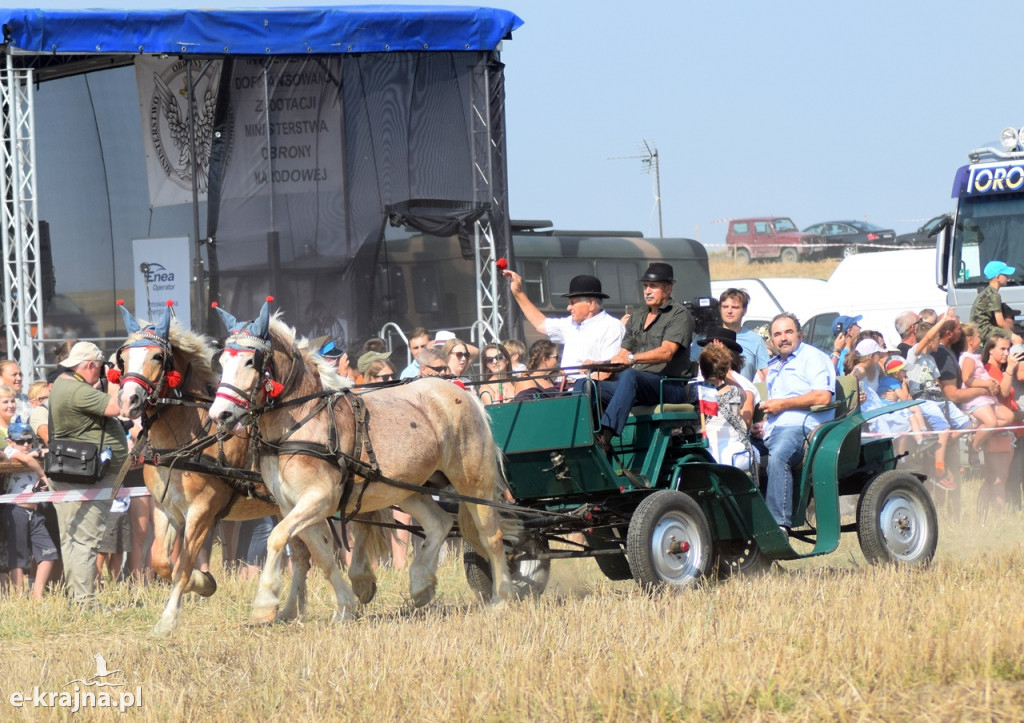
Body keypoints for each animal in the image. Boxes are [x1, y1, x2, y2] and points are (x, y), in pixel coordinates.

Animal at [115, 303, 387, 630]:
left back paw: (360, 583)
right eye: (123, 358)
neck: (188, 435)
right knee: (302, 555)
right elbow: (161, 561)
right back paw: (291, 610)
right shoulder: (166, 509)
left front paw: (168, 620)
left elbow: (183, 564)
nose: (128, 400)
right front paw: (204, 582)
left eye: (157, 356)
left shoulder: (202, 511)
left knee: (357, 526)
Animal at [205, 299, 512, 618]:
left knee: (491, 536)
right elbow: (322, 556)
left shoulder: (319, 498)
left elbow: (278, 538)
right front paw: (345, 604)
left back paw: (501, 599)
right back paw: (421, 585)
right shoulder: (292, 504)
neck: (302, 419)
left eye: (250, 362)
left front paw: (265, 604)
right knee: (438, 522)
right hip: (405, 488)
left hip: (473, 482)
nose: (220, 414)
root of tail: (459, 389)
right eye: (222, 362)